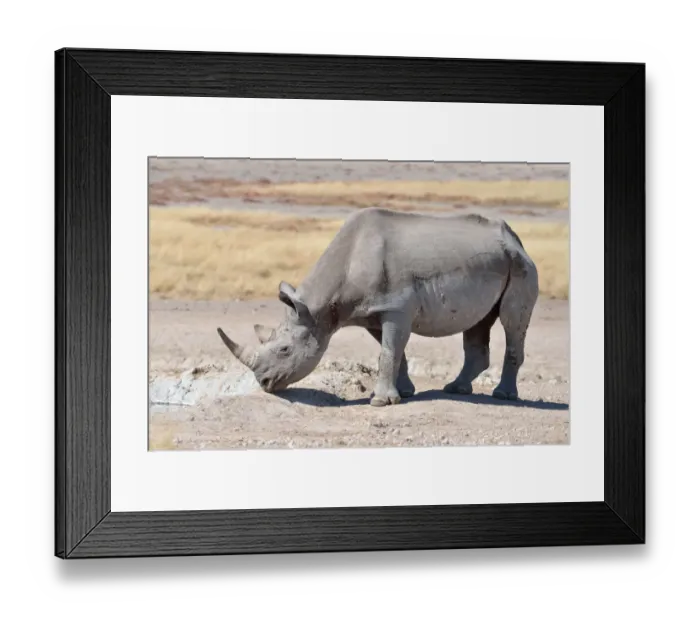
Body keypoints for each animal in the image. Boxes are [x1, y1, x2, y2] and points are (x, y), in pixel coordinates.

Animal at [217, 208, 539, 406]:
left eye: (284, 350)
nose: (263, 381)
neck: (319, 309)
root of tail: (515, 238)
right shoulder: (371, 311)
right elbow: (393, 353)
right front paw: (403, 394)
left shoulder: (397, 308)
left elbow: (388, 352)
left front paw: (381, 402)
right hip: (494, 260)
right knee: (478, 322)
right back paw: (456, 389)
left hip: (520, 264)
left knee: (512, 323)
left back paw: (503, 396)